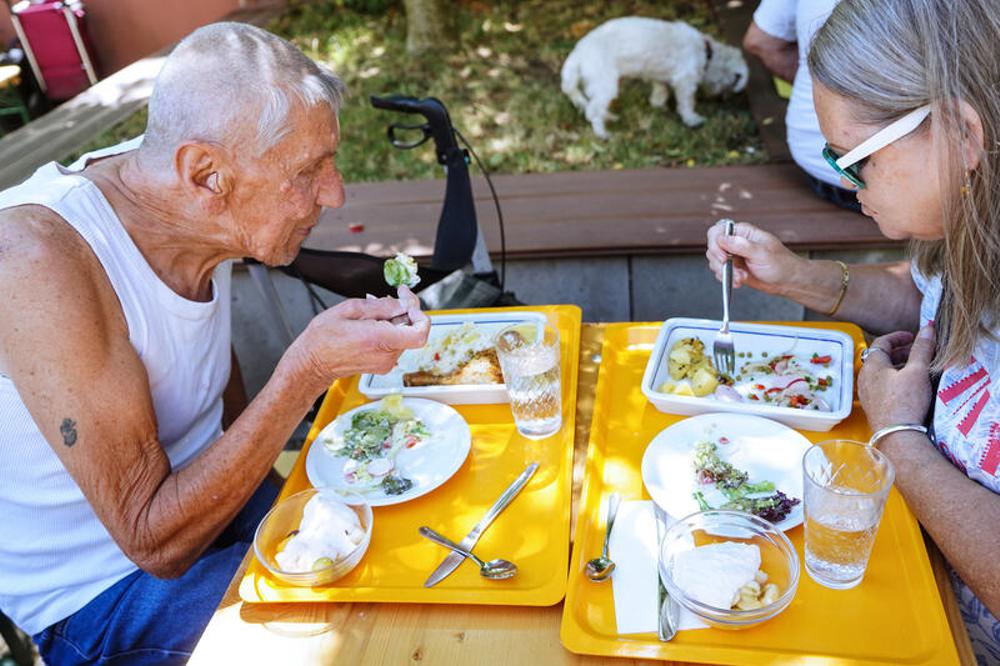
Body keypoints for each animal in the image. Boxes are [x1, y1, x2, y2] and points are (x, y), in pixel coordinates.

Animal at [560, 17, 748, 136]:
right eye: (733, 81)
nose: (722, 99)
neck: (705, 51)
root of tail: (577, 53)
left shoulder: (658, 76)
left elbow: (660, 90)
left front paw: (658, 104)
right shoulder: (685, 81)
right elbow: (687, 104)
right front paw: (692, 119)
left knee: (595, 106)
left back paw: (609, 117)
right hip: (605, 85)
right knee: (593, 110)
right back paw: (602, 133)